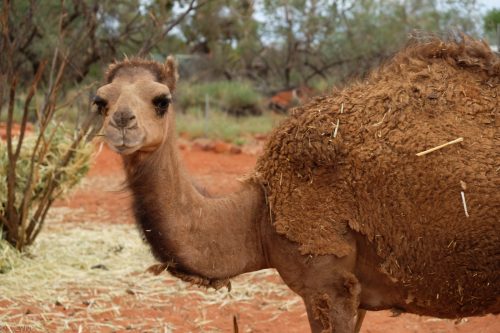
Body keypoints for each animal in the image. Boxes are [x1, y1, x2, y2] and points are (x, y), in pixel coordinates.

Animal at [96, 35, 500, 330]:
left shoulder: (326, 283)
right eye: (99, 101)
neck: (260, 213)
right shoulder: (356, 290)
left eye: (161, 100)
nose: (122, 122)